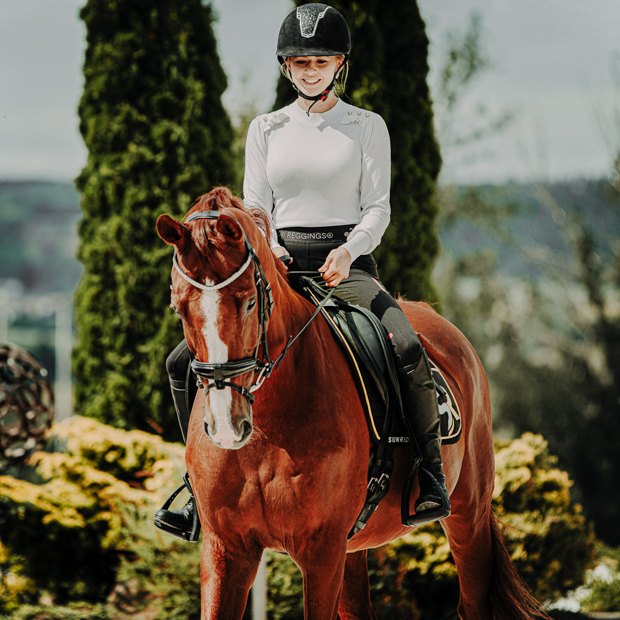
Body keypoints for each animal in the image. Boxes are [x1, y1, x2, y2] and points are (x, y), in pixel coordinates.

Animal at [156, 188, 548, 620]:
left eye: (246, 303)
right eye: (178, 307)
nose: (226, 426)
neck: (269, 428)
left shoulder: (321, 551)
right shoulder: (227, 549)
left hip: (468, 515)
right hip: (354, 546)